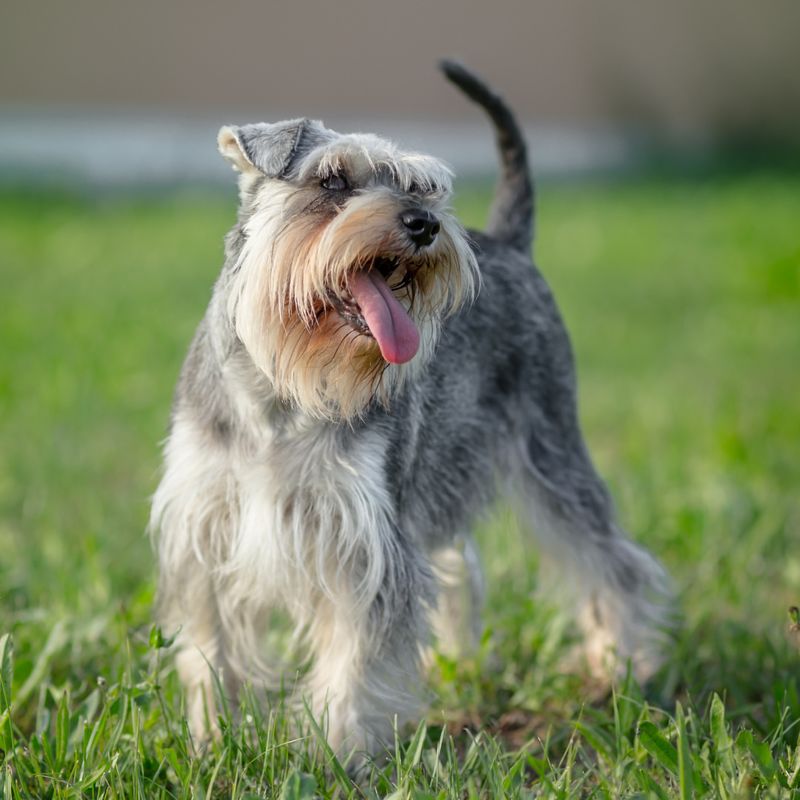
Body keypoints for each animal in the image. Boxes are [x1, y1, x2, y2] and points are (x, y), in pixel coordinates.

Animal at [152, 61, 676, 764]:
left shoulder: (367, 541)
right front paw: (211, 739)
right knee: (462, 568)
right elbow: (211, 651)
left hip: (552, 452)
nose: (424, 223)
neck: (282, 391)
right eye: (332, 180)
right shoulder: (205, 529)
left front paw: (333, 753)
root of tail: (510, 242)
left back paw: (620, 667)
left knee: (609, 560)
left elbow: (354, 659)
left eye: (423, 186)